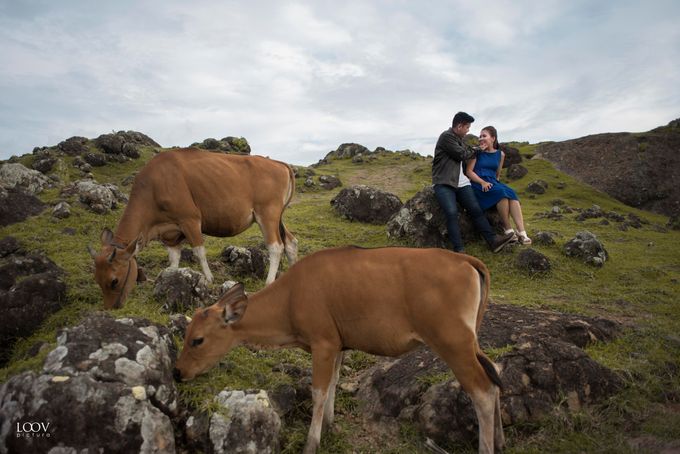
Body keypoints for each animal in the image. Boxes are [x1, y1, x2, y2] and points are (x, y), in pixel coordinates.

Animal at [88, 149, 298, 308]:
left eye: (114, 281)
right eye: (97, 280)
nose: (110, 308)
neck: (153, 187)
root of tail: (279, 163)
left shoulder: (190, 219)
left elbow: (199, 252)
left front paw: (209, 279)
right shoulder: (170, 235)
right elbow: (173, 261)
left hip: (267, 214)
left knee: (276, 247)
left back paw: (269, 282)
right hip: (278, 217)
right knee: (290, 242)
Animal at [175, 248, 504, 454]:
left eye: (197, 340)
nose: (178, 373)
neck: (292, 296)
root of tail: (464, 260)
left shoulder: (322, 344)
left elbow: (318, 391)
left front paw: (312, 442)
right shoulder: (339, 345)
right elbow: (332, 383)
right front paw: (330, 425)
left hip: (453, 344)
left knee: (483, 390)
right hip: (471, 343)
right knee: (496, 375)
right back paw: (500, 441)